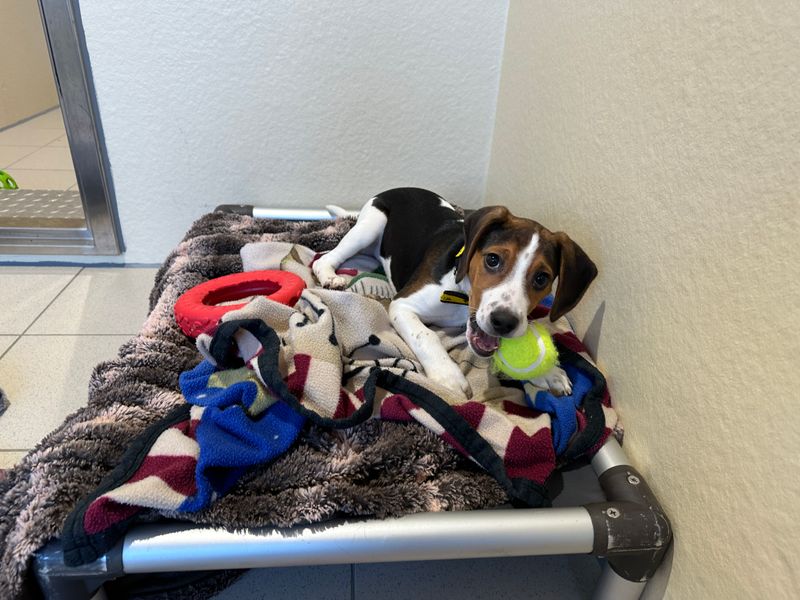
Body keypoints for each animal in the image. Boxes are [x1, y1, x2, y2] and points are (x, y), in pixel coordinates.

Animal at [312, 185, 592, 396]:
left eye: (542, 278)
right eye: (493, 260)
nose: (503, 322)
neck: (462, 296)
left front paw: (548, 372)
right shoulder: (402, 305)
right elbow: (427, 336)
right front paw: (448, 376)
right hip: (371, 223)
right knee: (325, 258)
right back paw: (330, 276)